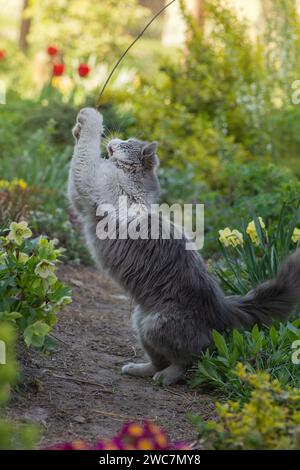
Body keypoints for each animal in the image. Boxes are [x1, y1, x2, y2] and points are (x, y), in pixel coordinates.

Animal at [68, 107, 300, 386]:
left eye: (126, 142)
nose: (114, 140)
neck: (134, 184)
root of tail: (223, 306)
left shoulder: (90, 179)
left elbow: (84, 153)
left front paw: (88, 117)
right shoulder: (82, 194)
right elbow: (80, 155)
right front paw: (78, 128)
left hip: (157, 325)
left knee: (187, 360)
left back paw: (165, 378)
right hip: (141, 321)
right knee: (159, 360)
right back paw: (139, 369)